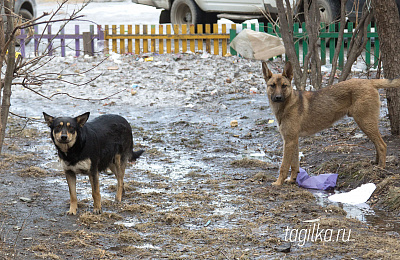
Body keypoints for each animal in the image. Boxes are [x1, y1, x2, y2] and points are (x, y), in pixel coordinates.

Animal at [262, 62, 396, 186]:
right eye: (272, 86)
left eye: (284, 86)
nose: (278, 97)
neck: (287, 105)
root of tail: (369, 82)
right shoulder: (293, 139)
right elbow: (294, 164)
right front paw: (292, 180)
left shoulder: (289, 141)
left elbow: (284, 166)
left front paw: (278, 183)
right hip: (368, 123)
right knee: (377, 144)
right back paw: (376, 163)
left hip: (365, 122)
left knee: (382, 145)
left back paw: (381, 168)